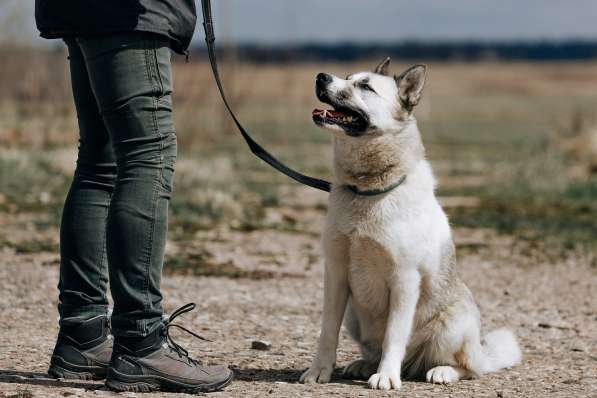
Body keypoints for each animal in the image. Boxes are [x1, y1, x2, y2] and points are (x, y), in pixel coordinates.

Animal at [300, 57, 520, 390]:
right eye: (347, 77)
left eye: (365, 86)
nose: (320, 76)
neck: (367, 191)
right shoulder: (335, 274)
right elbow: (327, 332)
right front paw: (319, 371)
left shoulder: (404, 279)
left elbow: (394, 335)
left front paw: (387, 376)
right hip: (354, 314)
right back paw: (365, 364)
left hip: (452, 325)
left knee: (469, 367)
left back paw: (439, 371)